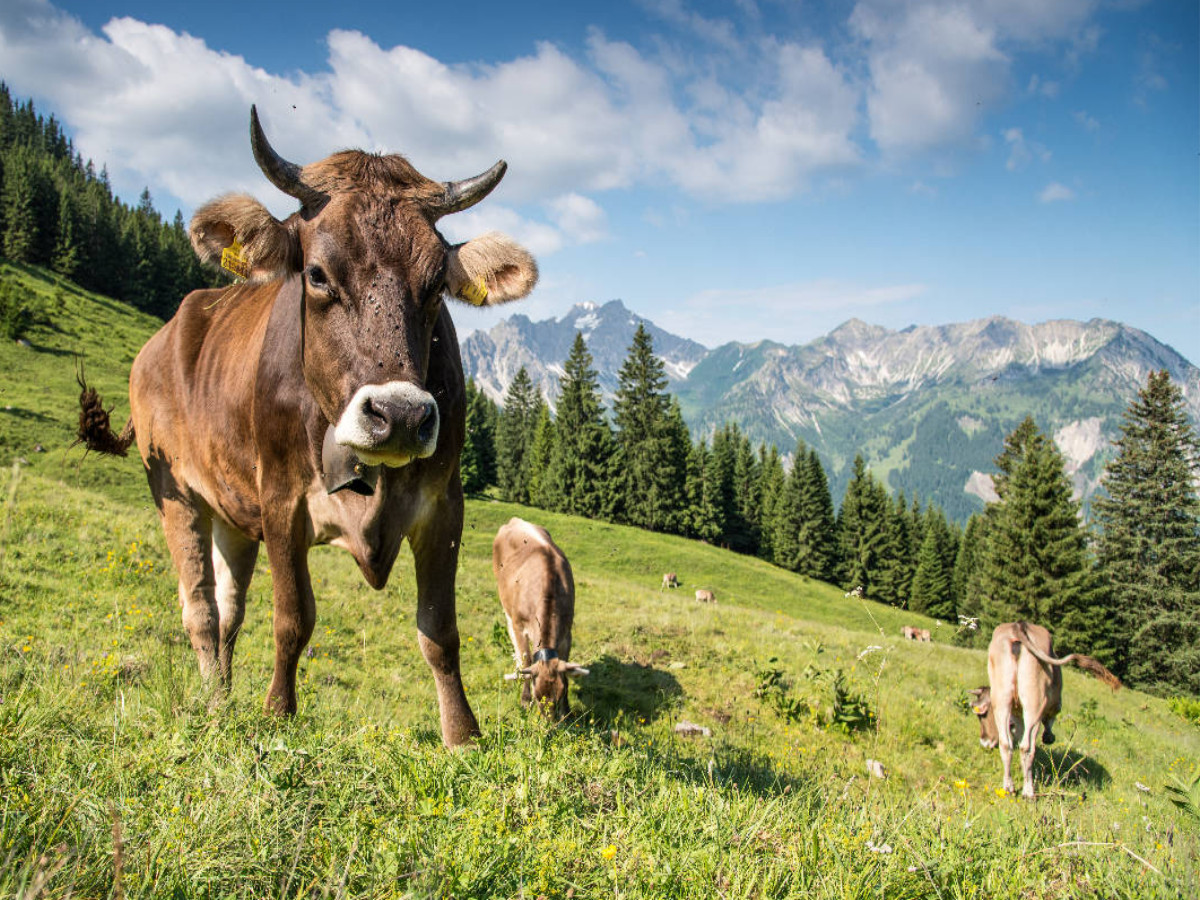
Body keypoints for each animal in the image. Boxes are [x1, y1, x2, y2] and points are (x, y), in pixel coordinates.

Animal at [77, 105, 537, 748]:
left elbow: (440, 632)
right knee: (200, 608)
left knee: (229, 607)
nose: (399, 415)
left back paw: (223, 692)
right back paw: (214, 703)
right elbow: (293, 618)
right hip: (173, 491)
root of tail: (161, 337)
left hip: (233, 512)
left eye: (435, 286)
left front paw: (461, 734)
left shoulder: (445, 503)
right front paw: (278, 713)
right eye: (317, 275)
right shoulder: (280, 500)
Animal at [494, 520, 588, 720]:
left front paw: (567, 710)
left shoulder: (567, 633)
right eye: (537, 697)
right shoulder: (520, 626)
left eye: (560, 694)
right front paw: (524, 700)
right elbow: (527, 661)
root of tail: (514, 520)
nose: (549, 724)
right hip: (507, 608)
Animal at [969, 624, 1118, 801]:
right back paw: (1028, 792)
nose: (984, 742)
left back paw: (1008, 787)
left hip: (1002, 697)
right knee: (1027, 747)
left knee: (1006, 744)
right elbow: (1049, 720)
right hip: (1035, 701)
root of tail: (1017, 626)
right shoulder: (1053, 704)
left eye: (982, 716)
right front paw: (1048, 736)